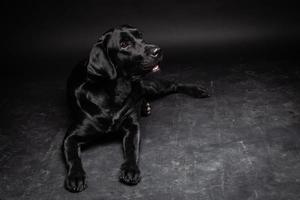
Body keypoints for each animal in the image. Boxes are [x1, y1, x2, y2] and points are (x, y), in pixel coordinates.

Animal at [62, 25, 209, 192]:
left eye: (141, 36)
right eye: (124, 44)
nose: (158, 50)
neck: (115, 92)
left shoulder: (132, 126)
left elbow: (132, 149)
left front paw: (130, 169)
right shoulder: (71, 137)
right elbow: (73, 156)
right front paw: (75, 176)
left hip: (150, 87)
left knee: (173, 84)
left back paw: (197, 90)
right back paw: (145, 106)